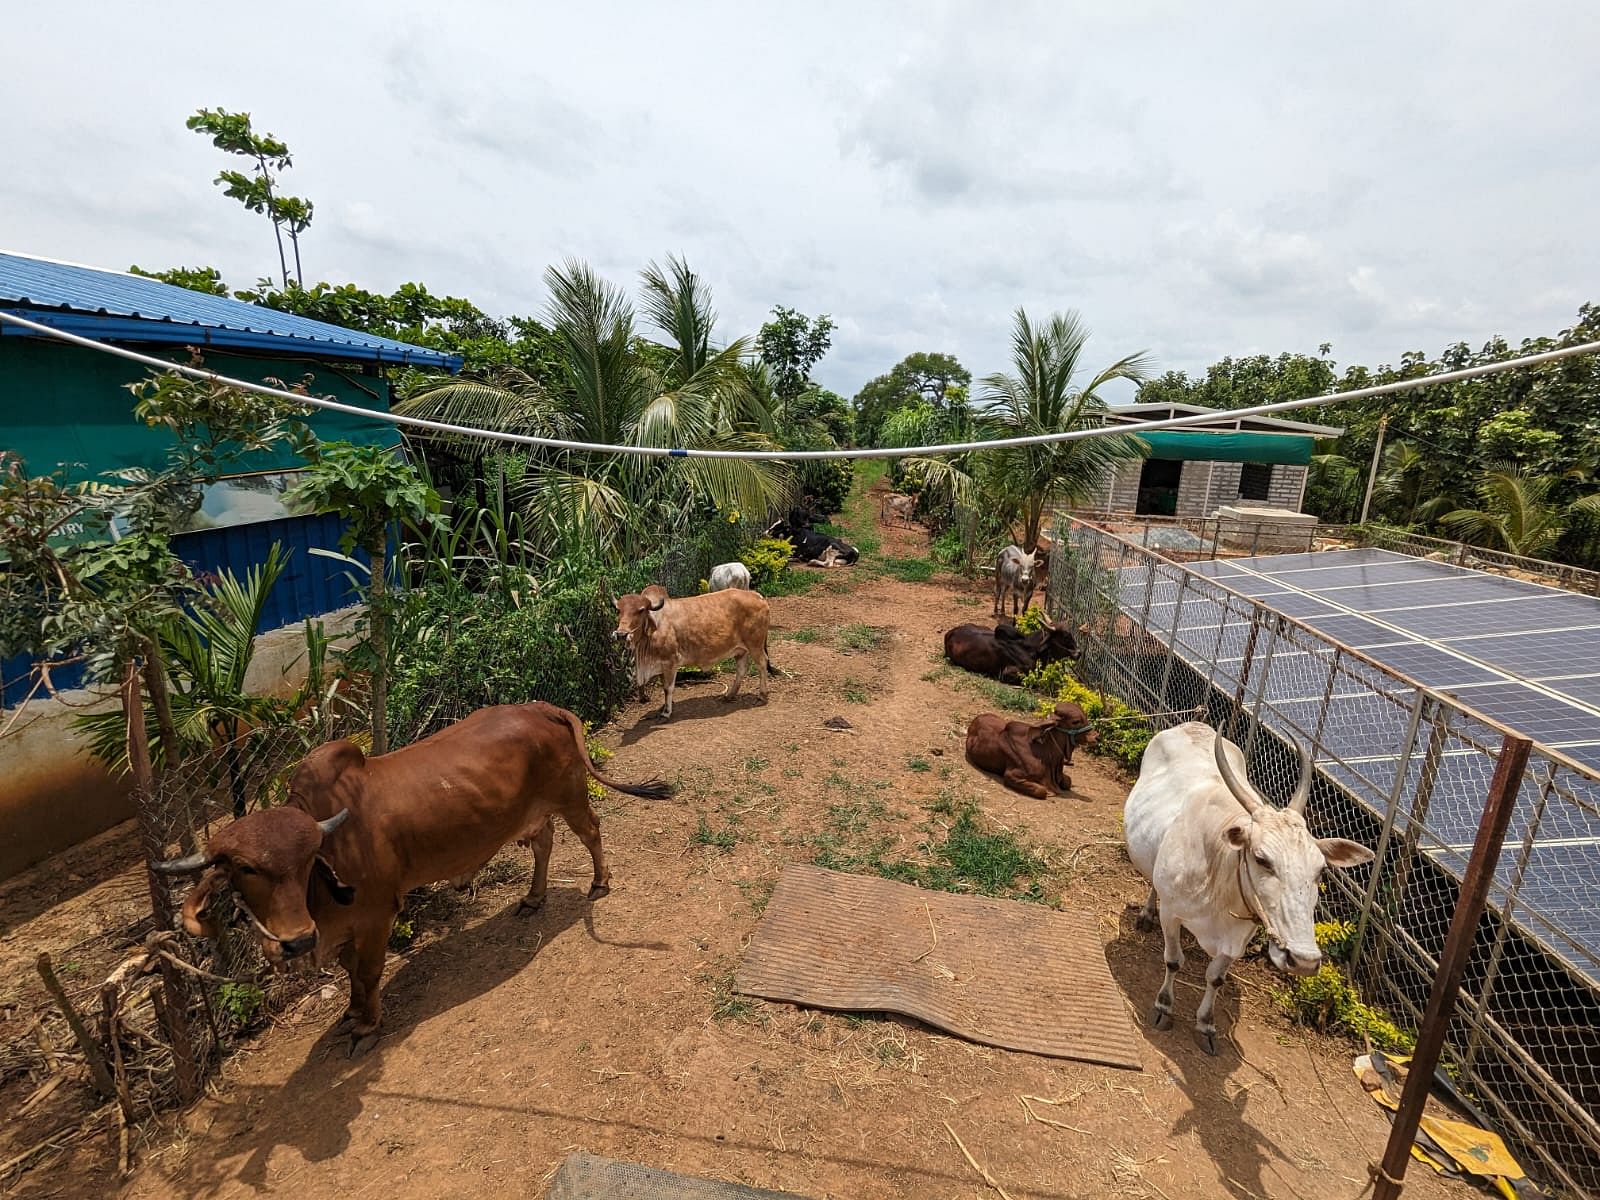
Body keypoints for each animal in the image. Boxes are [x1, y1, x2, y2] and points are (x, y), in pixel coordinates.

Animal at [152, 704, 672, 1043]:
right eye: (243, 869)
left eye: (307, 860)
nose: (296, 941)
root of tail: (543, 707)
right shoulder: (343, 928)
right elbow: (351, 974)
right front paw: (351, 1013)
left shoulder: (377, 915)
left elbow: (367, 972)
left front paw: (367, 1023)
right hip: (533, 813)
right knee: (543, 844)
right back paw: (533, 897)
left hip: (570, 796)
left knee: (591, 832)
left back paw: (599, 882)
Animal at [614, 585, 771, 720]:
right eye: (619, 610)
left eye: (640, 610)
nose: (621, 634)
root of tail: (757, 596)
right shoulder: (661, 665)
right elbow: (664, 686)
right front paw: (664, 707)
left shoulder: (670, 662)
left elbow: (668, 688)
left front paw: (666, 712)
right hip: (740, 650)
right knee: (742, 669)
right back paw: (729, 696)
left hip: (755, 645)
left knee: (762, 664)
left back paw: (762, 695)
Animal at [960, 704, 1100, 800]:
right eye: (1076, 721)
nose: (1097, 737)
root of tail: (974, 723)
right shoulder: (1011, 775)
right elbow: (1042, 791)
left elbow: (1068, 781)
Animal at [1126, 723, 1376, 1049]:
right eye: (1261, 859)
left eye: (1321, 869)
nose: (1304, 960)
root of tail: (1192, 725)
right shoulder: (1172, 913)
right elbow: (1173, 961)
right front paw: (1164, 1007)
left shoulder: (1239, 937)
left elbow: (1215, 978)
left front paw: (1206, 1024)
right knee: (1153, 886)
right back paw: (1146, 915)